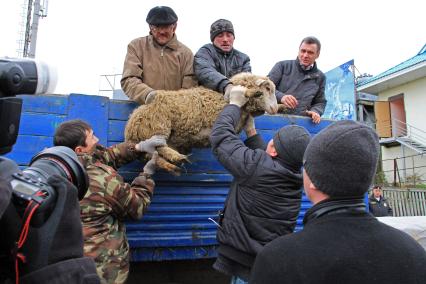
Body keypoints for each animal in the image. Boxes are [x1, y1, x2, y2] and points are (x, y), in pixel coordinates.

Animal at [124, 72, 280, 174]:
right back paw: (177, 157)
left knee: (152, 155)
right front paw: (253, 92)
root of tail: (131, 124)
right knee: (159, 147)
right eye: (267, 88)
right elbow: (246, 92)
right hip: (158, 125)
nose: (274, 109)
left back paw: (173, 164)